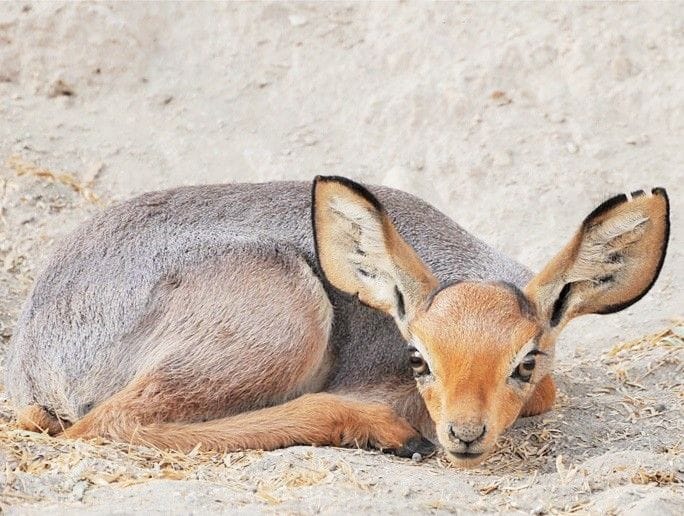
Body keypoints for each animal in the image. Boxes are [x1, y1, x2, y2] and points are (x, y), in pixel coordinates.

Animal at [4, 175, 668, 466]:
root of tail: (37, 362)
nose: (465, 435)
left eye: (524, 361)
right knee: (110, 424)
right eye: (419, 356)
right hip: (286, 311)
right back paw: (382, 432)